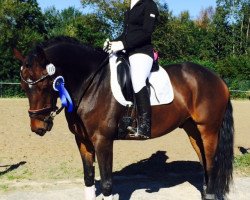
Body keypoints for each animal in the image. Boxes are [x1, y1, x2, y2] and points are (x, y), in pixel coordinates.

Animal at [14, 36, 234, 199]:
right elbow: (88, 179)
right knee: (204, 162)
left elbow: (107, 184)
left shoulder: (103, 141)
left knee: (211, 163)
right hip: (192, 129)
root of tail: (217, 78)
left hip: (208, 129)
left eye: (45, 85)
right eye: (24, 86)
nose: (38, 127)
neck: (92, 84)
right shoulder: (83, 141)